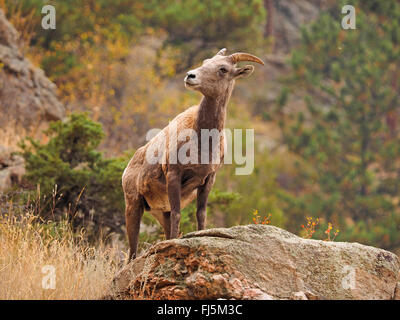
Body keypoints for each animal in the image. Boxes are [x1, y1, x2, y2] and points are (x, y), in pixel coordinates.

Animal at [123, 48, 264, 260]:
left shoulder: (208, 179)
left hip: (158, 212)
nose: (190, 76)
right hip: (133, 207)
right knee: (132, 251)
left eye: (223, 69)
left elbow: (200, 214)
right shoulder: (174, 175)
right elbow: (178, 214)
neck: (202, 139)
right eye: (205, 61)